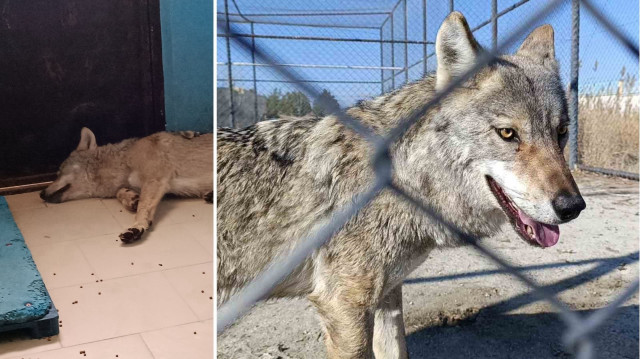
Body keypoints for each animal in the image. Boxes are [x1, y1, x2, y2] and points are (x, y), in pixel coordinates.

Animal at [41, 128, 214, 243]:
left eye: (59, 172)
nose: (41, 193)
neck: (122, 160)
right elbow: (122, 193)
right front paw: (131, 199)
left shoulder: (156, 180)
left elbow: (142, 208)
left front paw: (137, 227)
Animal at [219, 11, 584, 359]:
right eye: (508, 133)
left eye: (561, 132)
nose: (573, 207)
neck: (399, 176)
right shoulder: (343, 305)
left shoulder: (388, 296)